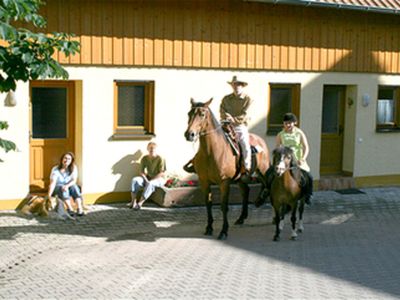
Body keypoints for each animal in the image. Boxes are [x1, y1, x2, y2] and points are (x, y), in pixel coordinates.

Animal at [184, 98, 268, 239]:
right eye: (189, 113)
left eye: (202, 114)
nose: (189, 134)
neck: (211, 152)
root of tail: (261, 141)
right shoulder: (204, 181)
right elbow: (208, 203)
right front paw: (209, 227)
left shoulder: (224, 182)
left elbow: (224, 206)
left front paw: (223, 231)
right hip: (241, 178)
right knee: (246, 191)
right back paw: (241, 218)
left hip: (263, 170)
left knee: (268, 184)